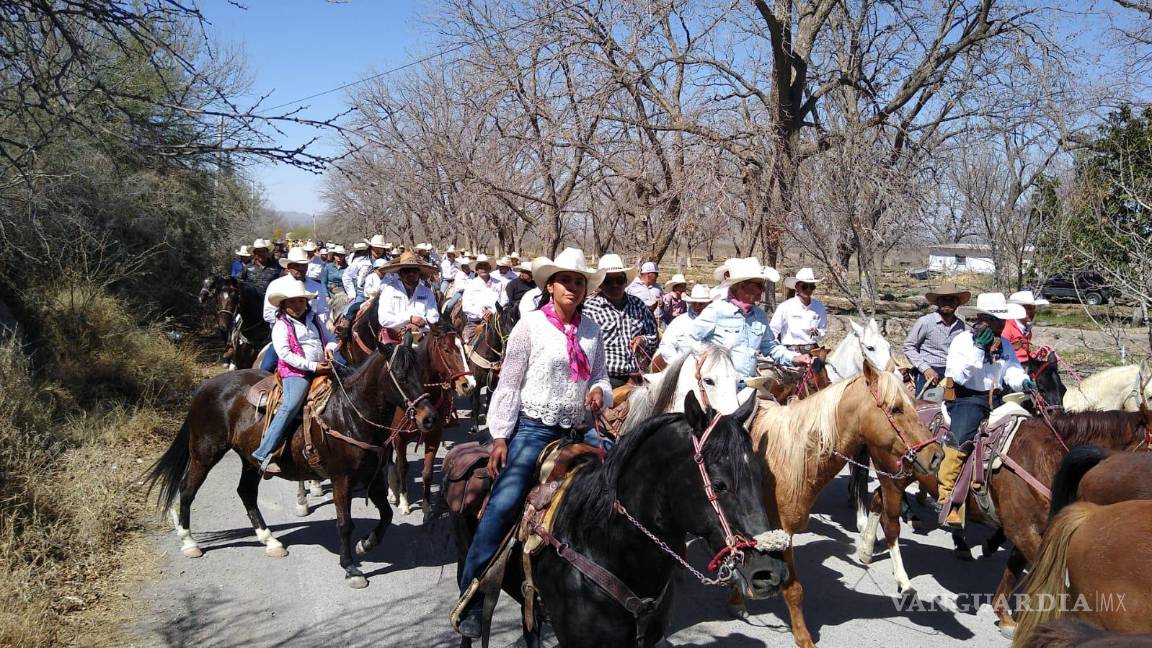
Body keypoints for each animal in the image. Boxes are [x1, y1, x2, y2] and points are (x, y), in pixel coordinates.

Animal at [140, 334, 435, 588]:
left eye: (421, 372)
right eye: (401, 376)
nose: (429, 417)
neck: (348, 413)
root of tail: (205, 387)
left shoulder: (372, 477)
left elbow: (386, 514)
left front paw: (366, 544)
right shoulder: (342, 479)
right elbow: (344, 523)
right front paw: (350, 567)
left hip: (249, 460)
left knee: (246, 492)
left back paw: (269, 540)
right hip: (205, 453)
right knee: (188, 489)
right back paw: (189, 542)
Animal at [732, 359, 940, 641]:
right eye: (895, 408)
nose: (936, 456)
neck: (787, 458)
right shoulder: (780, 531)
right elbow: (793, 589)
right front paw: (804, 639)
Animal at [857, 405, 1152, 631]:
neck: (1042, 458)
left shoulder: (1032, 529)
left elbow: (1014, 568)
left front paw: (1005, 615)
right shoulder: (1023, 530)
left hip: (894, 479)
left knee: (876, 501)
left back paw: (866, 550)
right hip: (894, 479)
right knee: (891, 525)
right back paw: (903, 582)